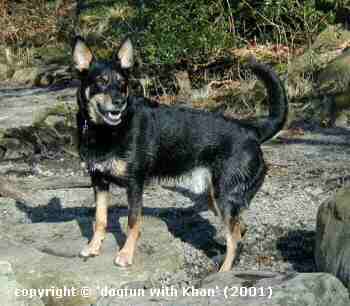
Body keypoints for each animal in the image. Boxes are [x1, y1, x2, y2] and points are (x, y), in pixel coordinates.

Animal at [73, 36, 288, 272]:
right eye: (101, 81)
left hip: (224, 198)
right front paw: (93, 247)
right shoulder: (99, 182)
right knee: (239, 229)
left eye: (122, 83)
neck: (104, 131)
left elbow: (133, 222)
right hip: (216, 198)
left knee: (235, 240)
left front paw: (126, 255)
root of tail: (251, 131)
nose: (120, 101)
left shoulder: (134, 185)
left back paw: (222, 272)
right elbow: (100, 219)